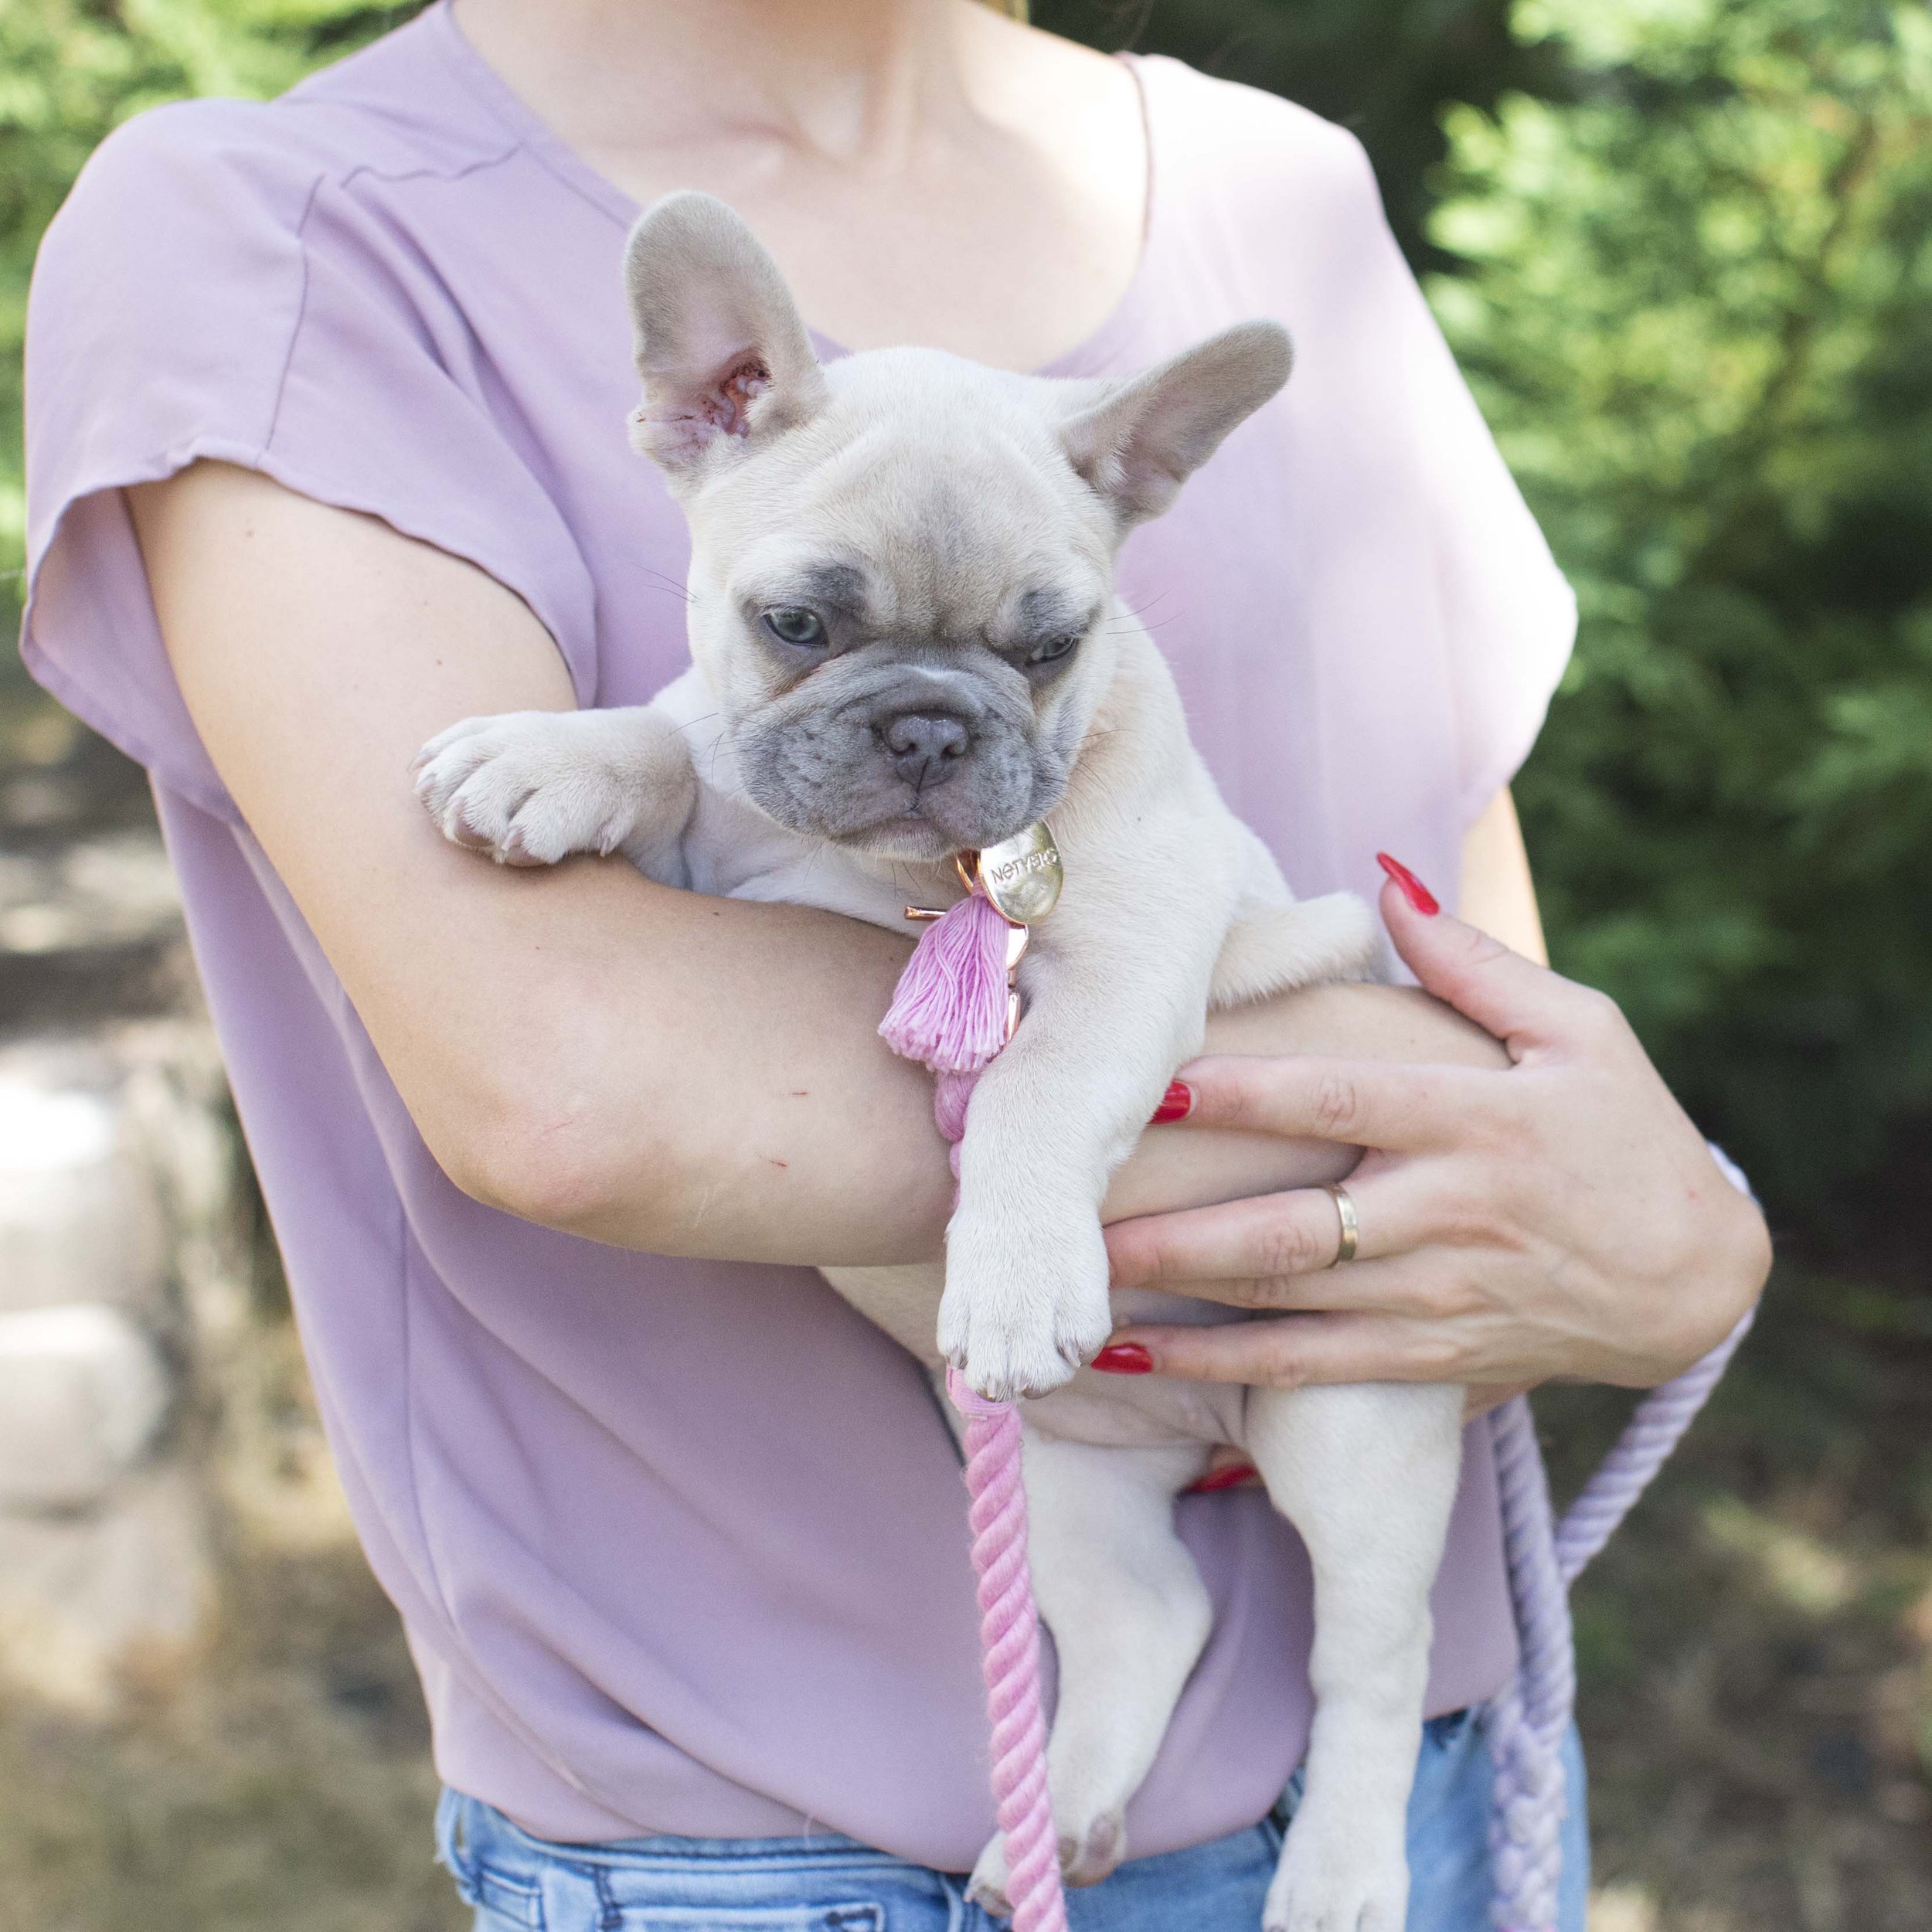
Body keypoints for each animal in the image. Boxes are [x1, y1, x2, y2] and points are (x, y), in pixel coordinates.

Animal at [419, 192, 1461, 1932]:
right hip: (1050, 1480)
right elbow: (673, 737)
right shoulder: (725, 793)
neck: (906, 881)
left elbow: (1035, 1095)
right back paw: (1071, 1815)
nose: (925, 723)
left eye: (1051, 645)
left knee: (1372, 1668)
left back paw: (1339, 1874)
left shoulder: (1134, 958)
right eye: (795, 623)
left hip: (1353, 1431)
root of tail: (1208, 1435)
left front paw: (1018, 1266)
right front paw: (554, 753)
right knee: (1151, 1611)